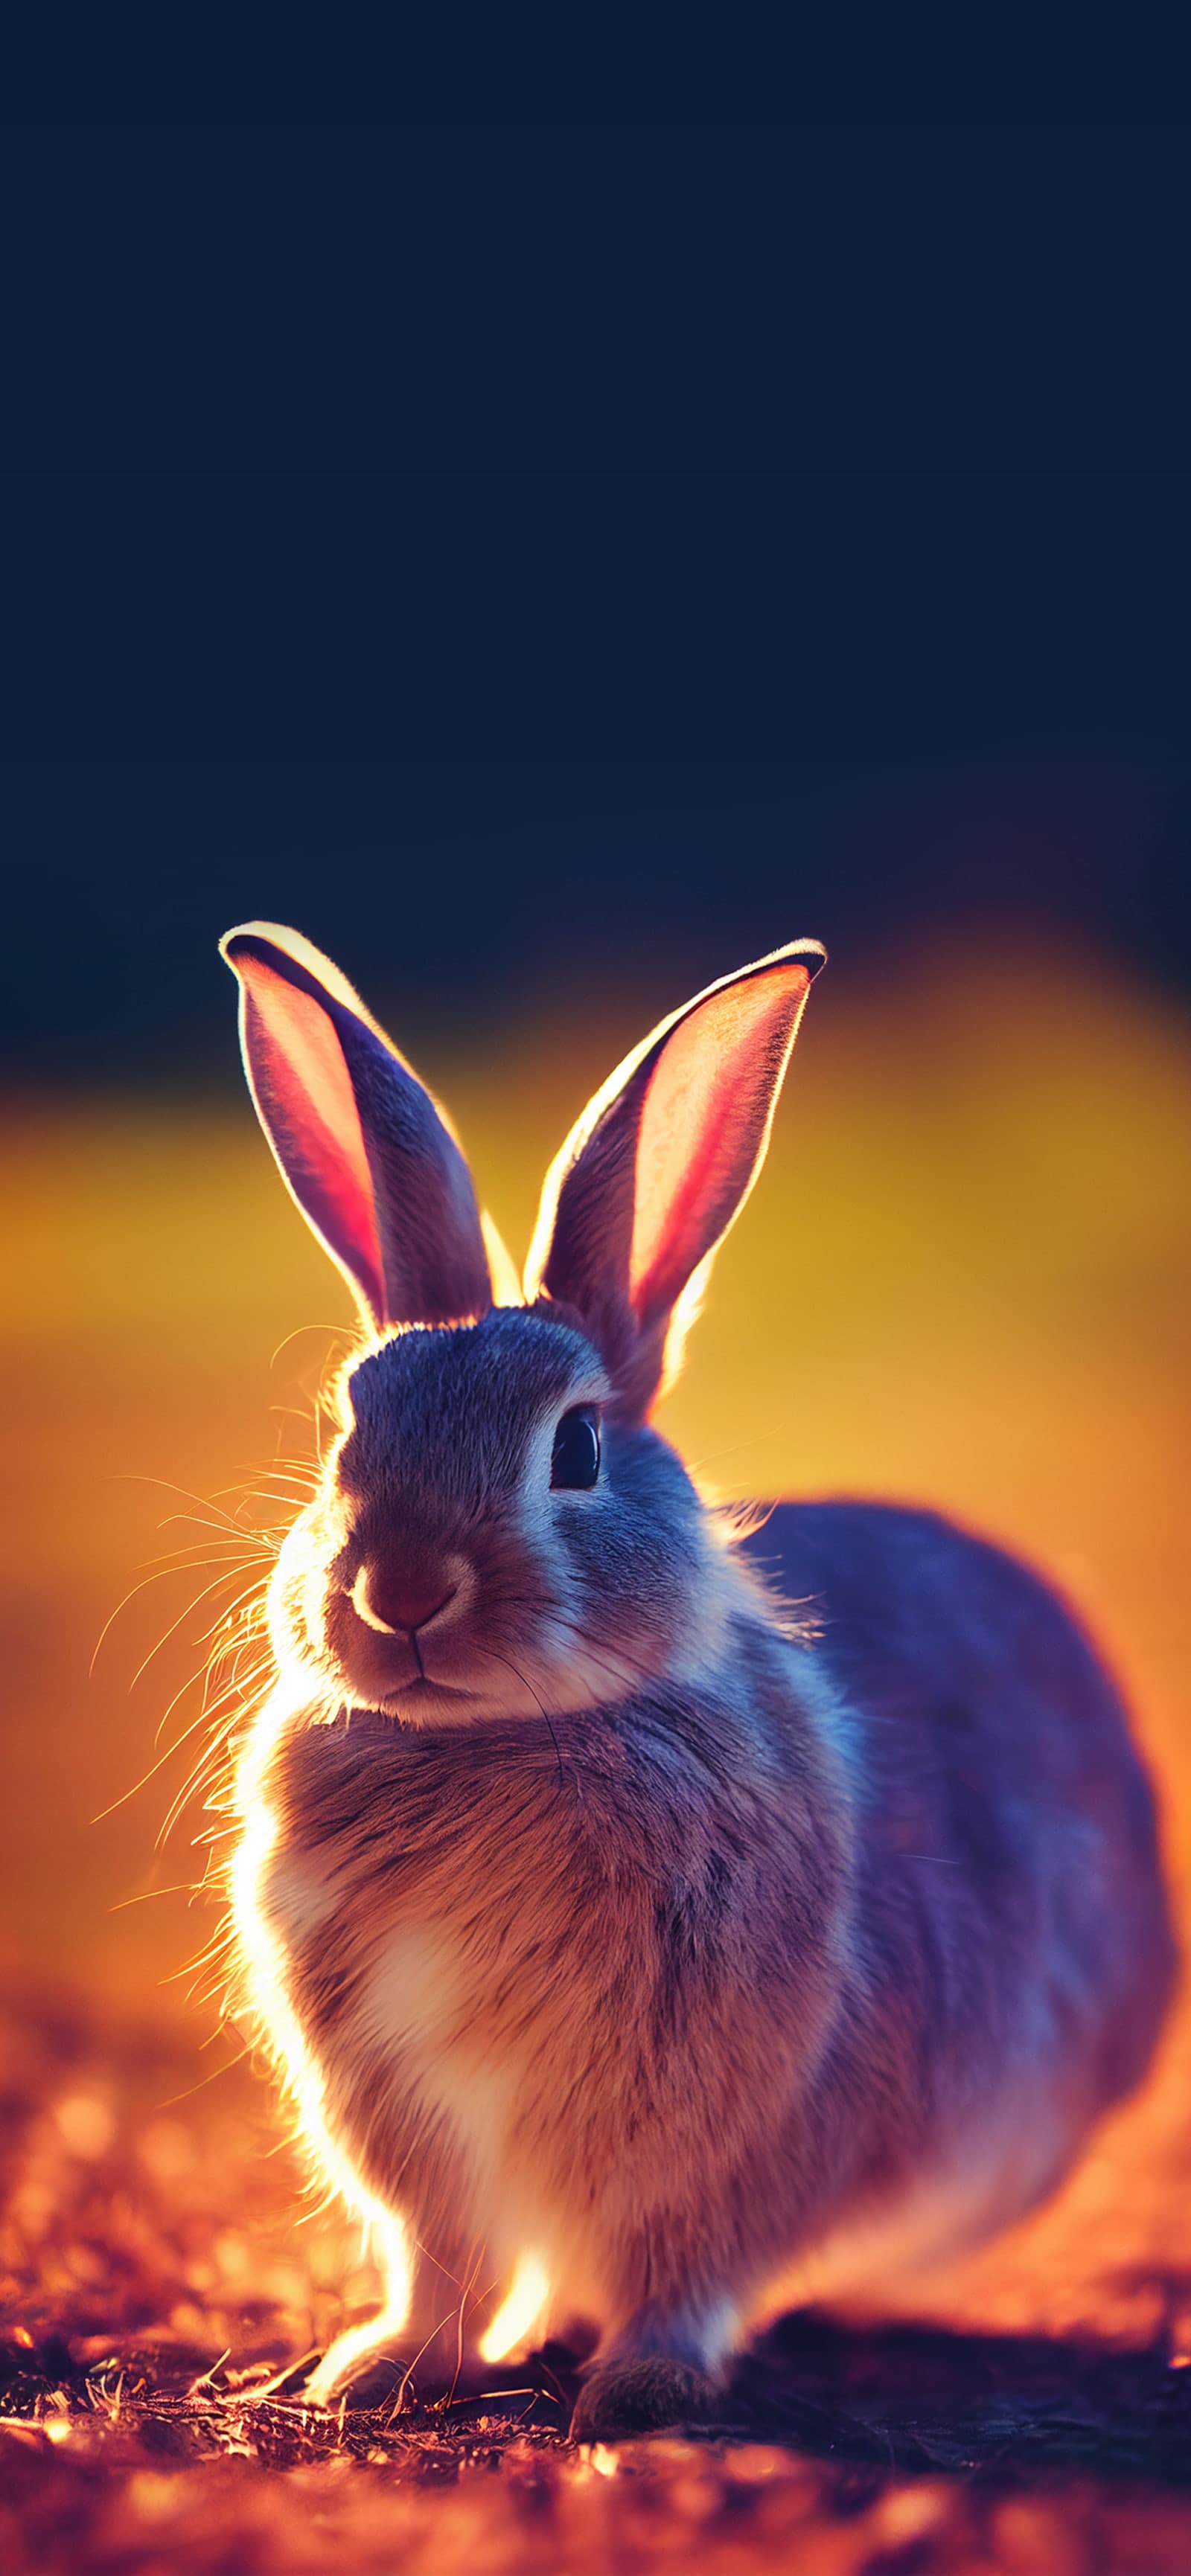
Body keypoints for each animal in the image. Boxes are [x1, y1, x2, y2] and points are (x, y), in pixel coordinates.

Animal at [218, 919, 1175, 2440]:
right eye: (340, 1436)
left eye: (577, 1448)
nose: (400, 1593)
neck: (500, 1735)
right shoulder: (413, 2129)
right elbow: (443, 2259)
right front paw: (383, 2370)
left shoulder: (739, 2121)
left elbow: (683, 2260)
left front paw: (640, 2392)